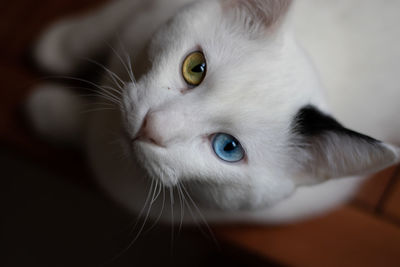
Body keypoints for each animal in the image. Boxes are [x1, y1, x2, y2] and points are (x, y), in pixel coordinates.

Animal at [27, 0, 400, 225]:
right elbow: (107, 20)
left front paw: (48, 109)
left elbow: (85, 126)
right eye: (195, 68)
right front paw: (56, 46)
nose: (152, 125)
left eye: (228, 148)